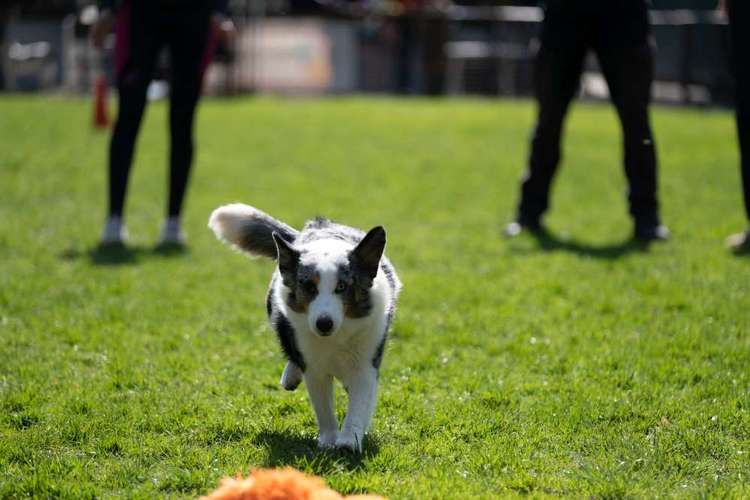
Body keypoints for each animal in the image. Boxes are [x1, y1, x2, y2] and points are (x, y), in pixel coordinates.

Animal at [209, 203, 402, 454]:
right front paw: (329, 440)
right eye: (309, 287)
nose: (324, 323)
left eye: (342, 287)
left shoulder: (366, 365)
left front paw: (349, 441)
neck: (335, 338)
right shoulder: (315, 369)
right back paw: (290, 375)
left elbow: (358, 405)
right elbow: (324, 409)